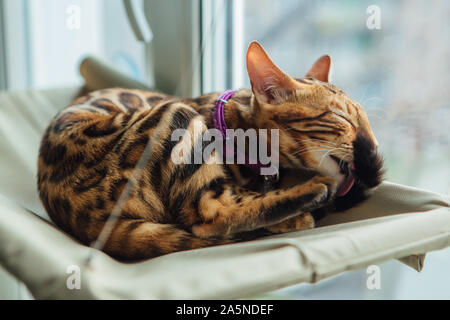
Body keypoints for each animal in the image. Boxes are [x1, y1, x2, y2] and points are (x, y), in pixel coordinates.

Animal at [37, 41, 384, 260]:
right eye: (341, 118)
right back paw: (313, 193)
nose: (373, 146)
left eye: (367, 120)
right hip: (177, 118)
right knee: (211, 215)